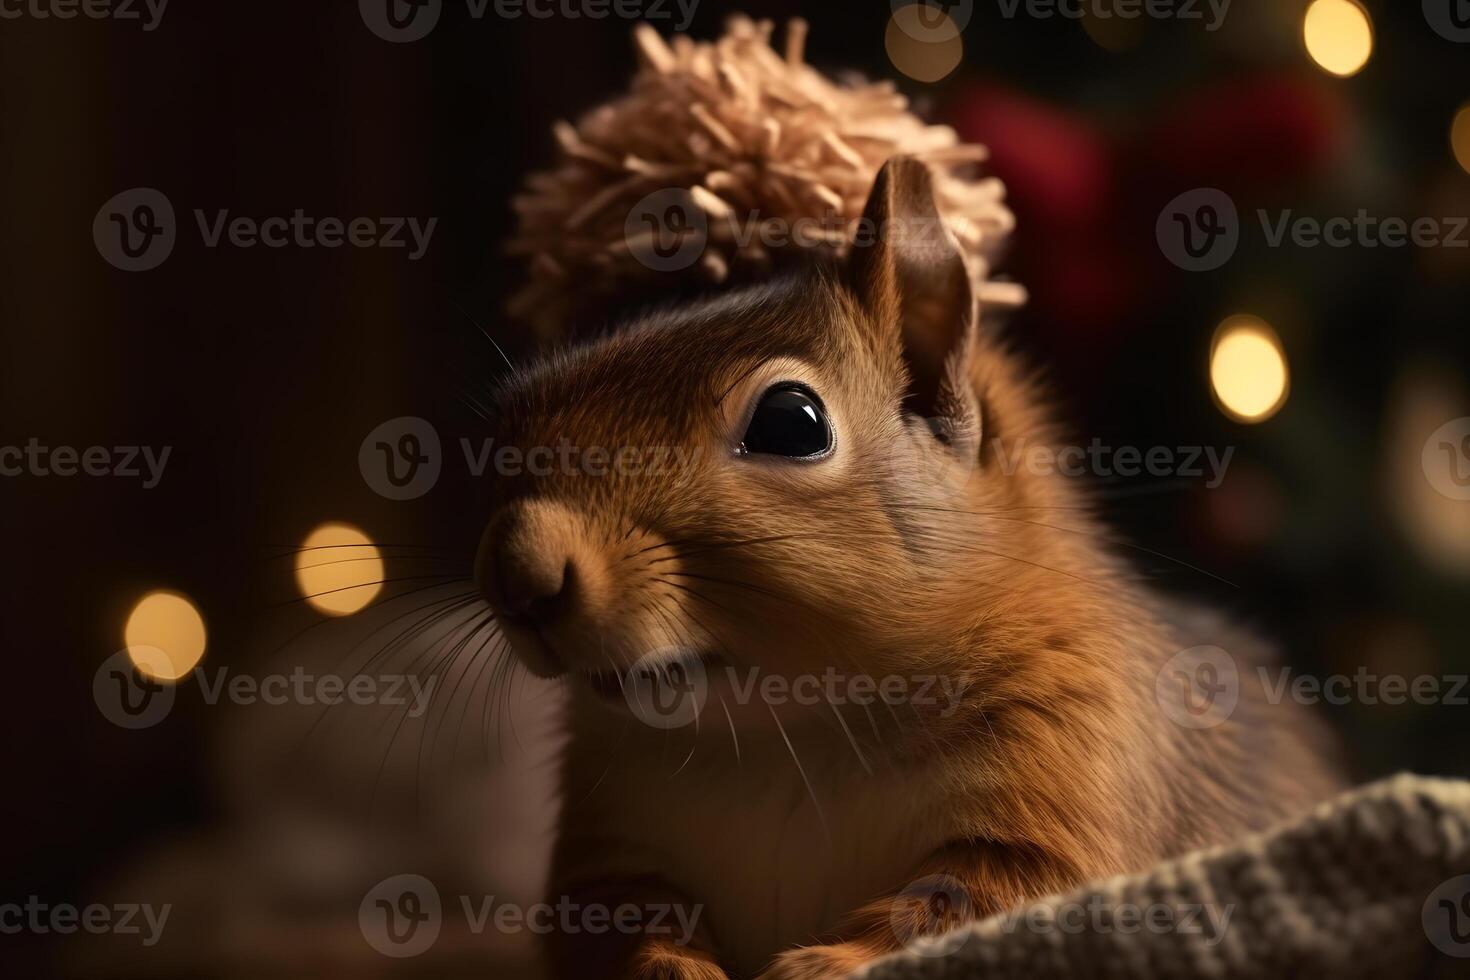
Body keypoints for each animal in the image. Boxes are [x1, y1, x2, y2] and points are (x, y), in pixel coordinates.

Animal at [479, 17, 1346, 980]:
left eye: (791, 422)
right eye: (511, 413)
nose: (520, 575)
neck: (788, 738)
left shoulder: (1072, 787)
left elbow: (969, 905)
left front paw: (818, 964)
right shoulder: (610, 852)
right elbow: (618, 924)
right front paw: (673, 967)